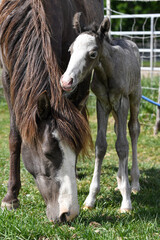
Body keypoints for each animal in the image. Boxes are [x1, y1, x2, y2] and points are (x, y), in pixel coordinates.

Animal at [60, 15, 142, 213]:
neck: (107, 73)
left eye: (92, 54)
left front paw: (126, 202)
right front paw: (90, 199)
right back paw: (120, 179)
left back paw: (134, 184)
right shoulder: (102, 104)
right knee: (118, 128)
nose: (66, 82)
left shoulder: (122, 101)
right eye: (70, 50)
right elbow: (101, 146)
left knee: (133, 130)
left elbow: (122, 146)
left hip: (135, 96)